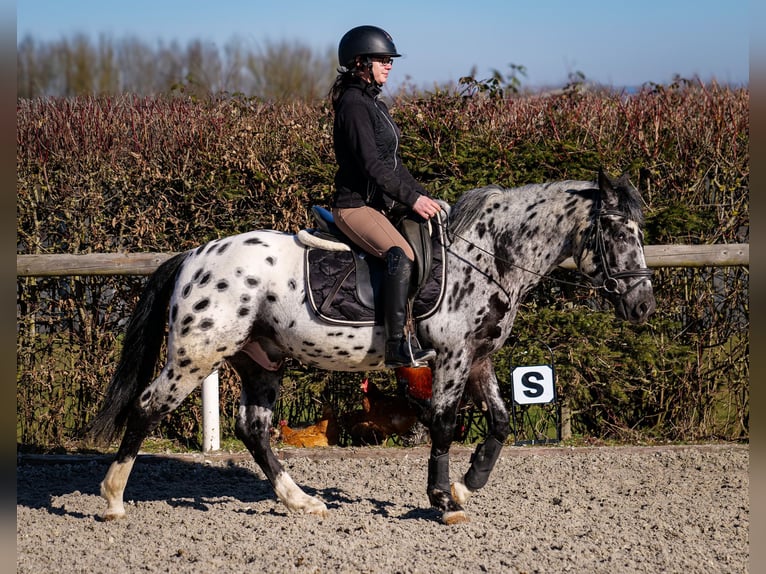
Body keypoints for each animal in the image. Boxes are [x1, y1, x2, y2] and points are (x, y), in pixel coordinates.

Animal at [87, 170, 656, 528]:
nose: (644, 305)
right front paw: (442, 499)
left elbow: (500, 420)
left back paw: (301, 501)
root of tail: (192, 257)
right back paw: (112, 500)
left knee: (254, 429)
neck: (490, 254)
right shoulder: (452, 356)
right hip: (197, 353)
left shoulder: (479, 356)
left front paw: (469, 482)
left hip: (261, 358)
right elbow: (444, 422)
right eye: (614, 230)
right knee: (147, 407)